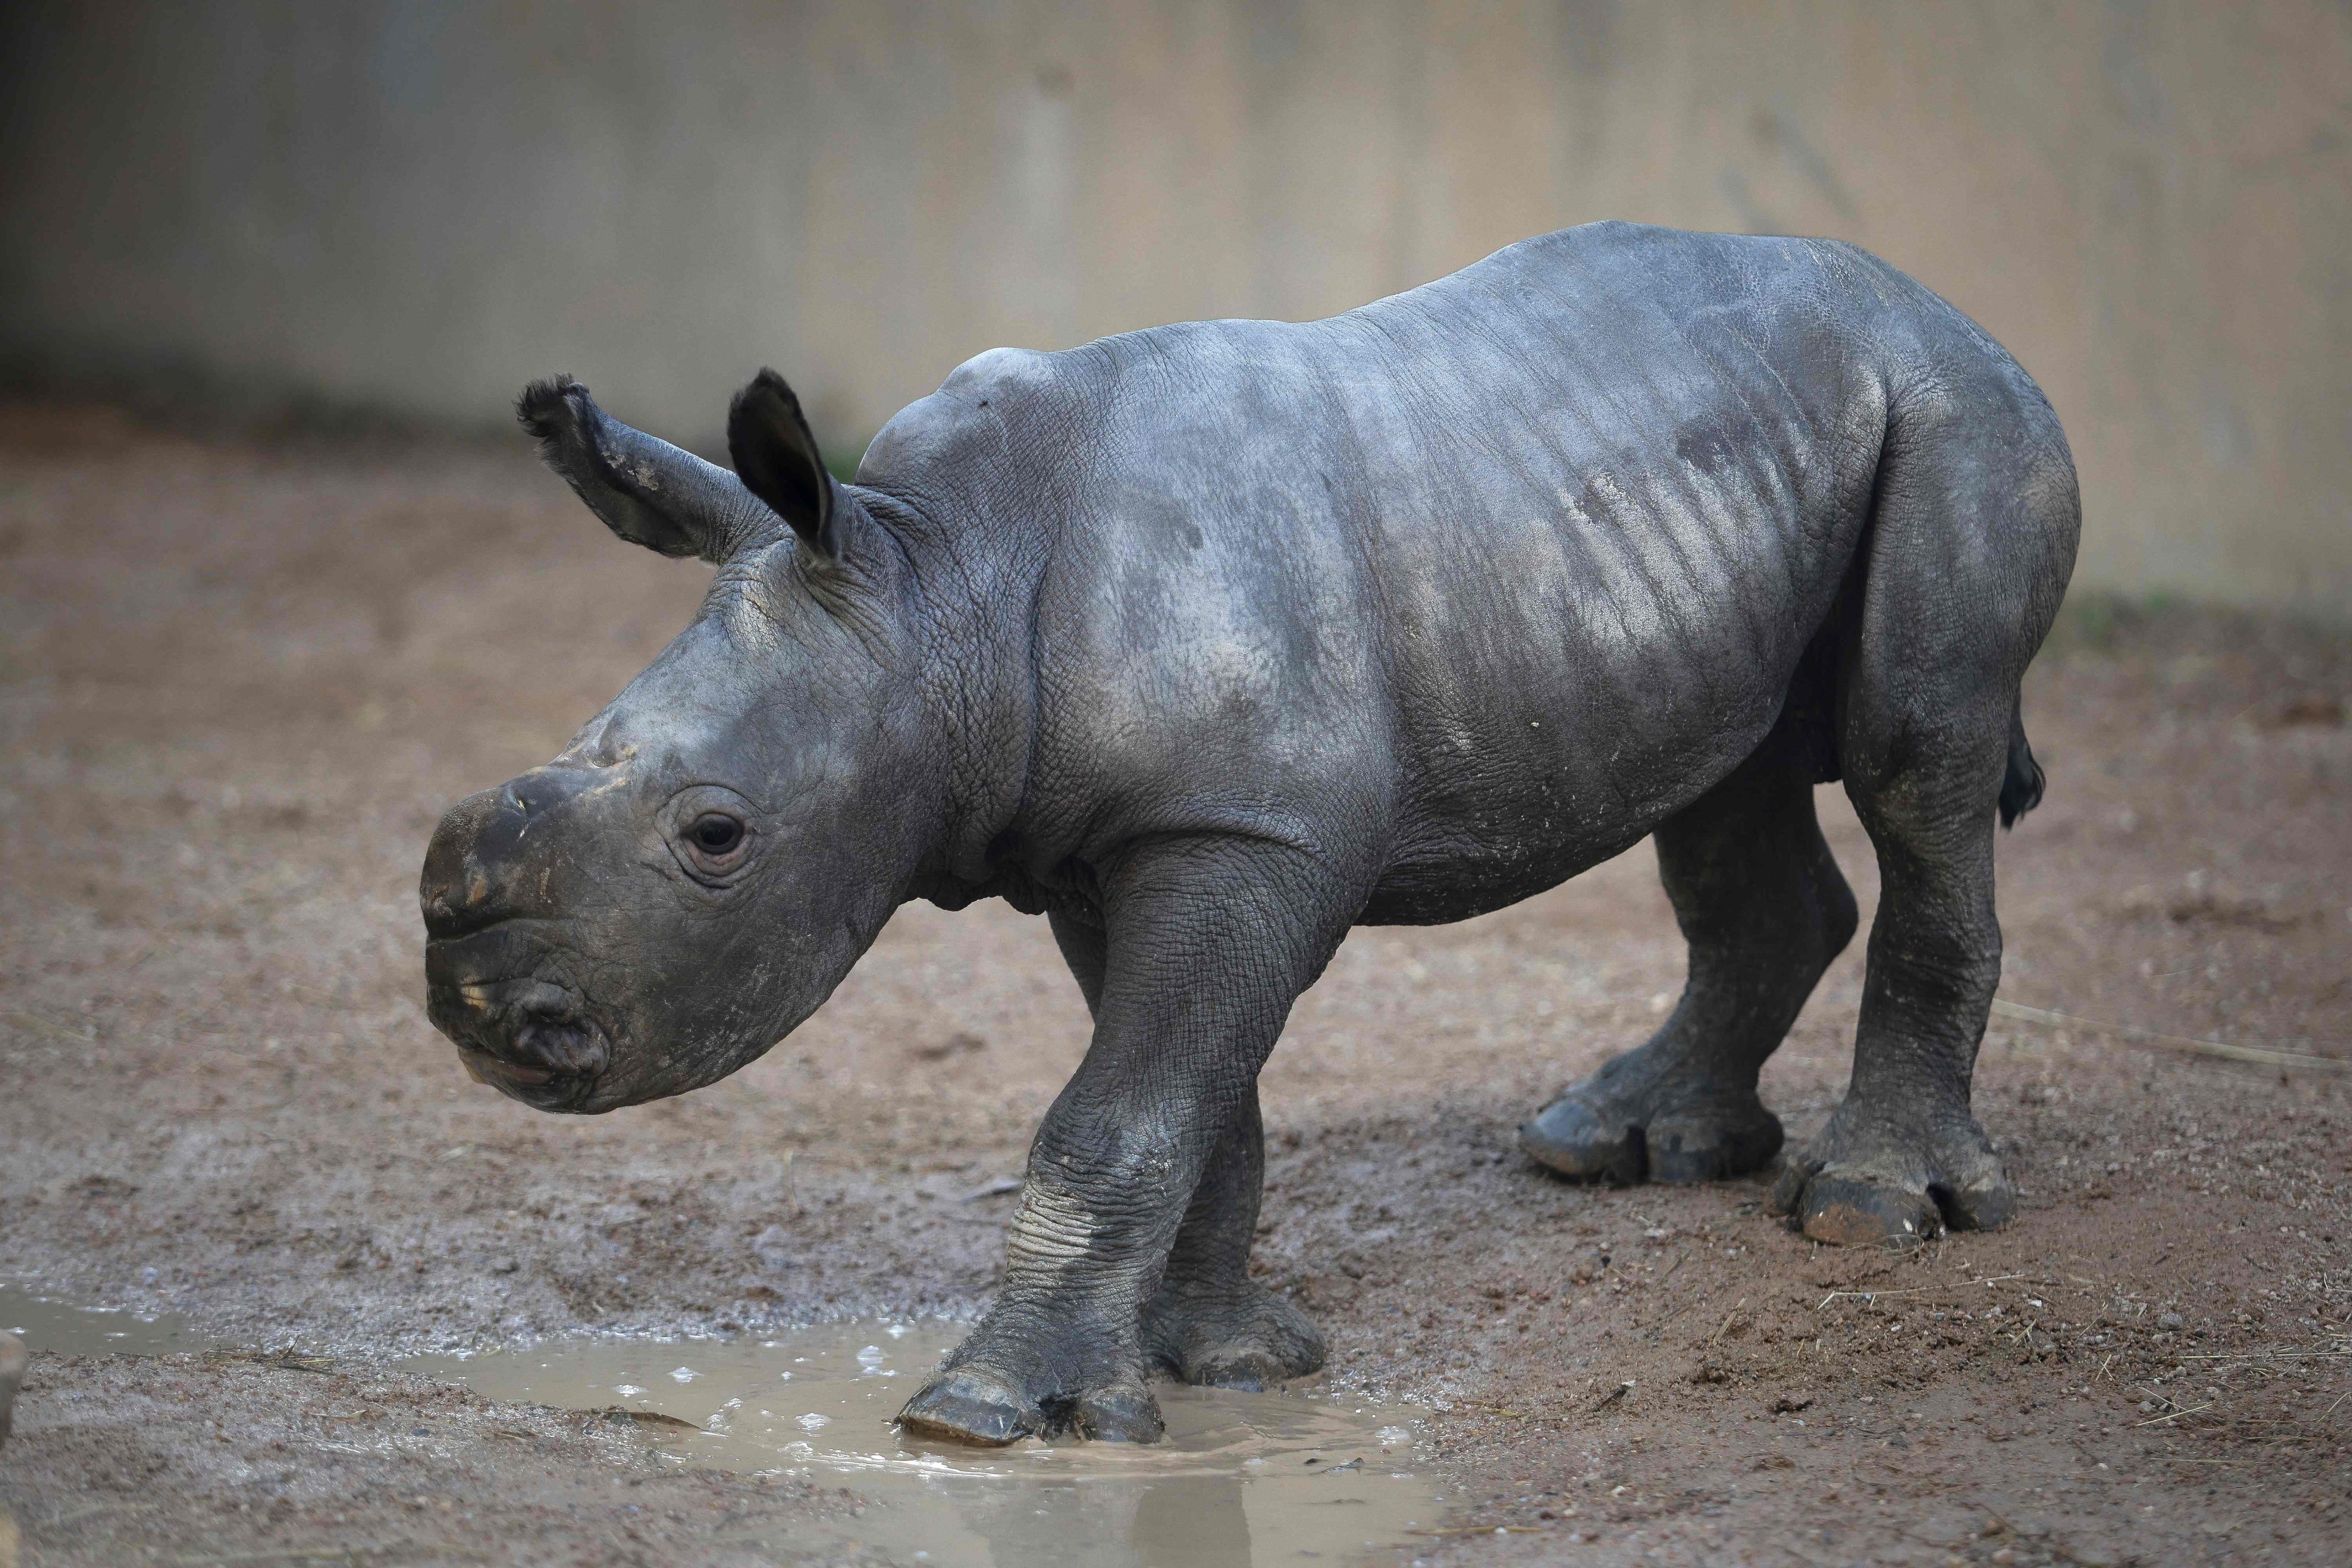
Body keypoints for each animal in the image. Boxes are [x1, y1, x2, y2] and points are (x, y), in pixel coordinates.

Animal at [421, 222, 2078, 1445]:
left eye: (715, 836)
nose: (487, 1018)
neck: (936, 574)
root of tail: (1938, 299)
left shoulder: (1251, 829)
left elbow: (1123, 1106)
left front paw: (989, 1412)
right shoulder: (1105, 841)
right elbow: (1194, 1099)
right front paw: (1214, 1363)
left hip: (1955, 414)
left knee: (1914, 753)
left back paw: (1865, 1212)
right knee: (1725, 775)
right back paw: (1616, 1147)